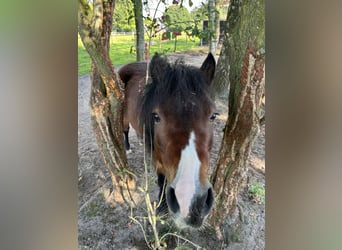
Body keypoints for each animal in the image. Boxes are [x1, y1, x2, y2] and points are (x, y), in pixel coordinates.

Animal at [119, 53, 218, 229]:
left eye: (213, 115)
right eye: (157, 117)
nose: (192, 204)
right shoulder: (157, 158)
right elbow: (161, 180)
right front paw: (162, 206)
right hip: (124, 115)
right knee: (125, 130)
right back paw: (128, 147)